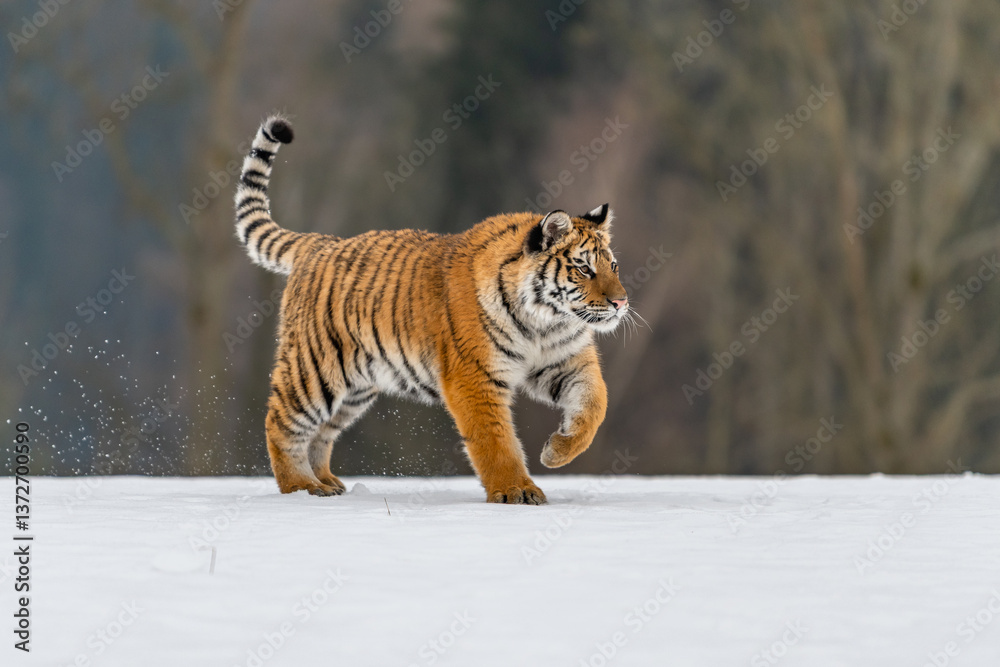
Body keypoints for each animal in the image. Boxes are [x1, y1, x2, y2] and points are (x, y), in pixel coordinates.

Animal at [234, 115, 630, 504]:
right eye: (585, 269)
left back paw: (326, 483)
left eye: (613, 266)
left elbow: (595, 404)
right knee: (281, 424)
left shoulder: (567, 362)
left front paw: (556, 451)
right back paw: (301, 488)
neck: (545, 322)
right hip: (314, 371)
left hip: (354, 386)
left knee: (320, 432)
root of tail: (320, 242)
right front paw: (516, 491)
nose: (621, 302)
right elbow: (494, 440)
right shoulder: (474, 376)